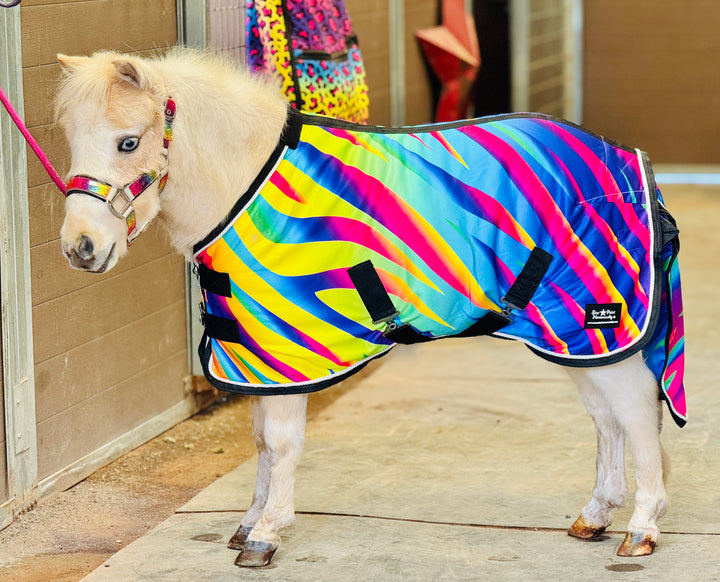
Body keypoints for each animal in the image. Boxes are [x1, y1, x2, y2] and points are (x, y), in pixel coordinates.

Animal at [54, 48, 683, 568]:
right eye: (71, 139)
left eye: (128, 142)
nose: (80, 248)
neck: (246, 186)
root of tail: (627, 160)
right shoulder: (252, 355)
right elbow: (259, 443)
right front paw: (249, 524)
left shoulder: (286, 351)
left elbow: (280, 443)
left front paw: (266, 535)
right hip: (575, 337)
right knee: (608, 421)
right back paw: (595, 517)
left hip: (601, 322)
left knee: (636, 415)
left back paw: (642, 529)